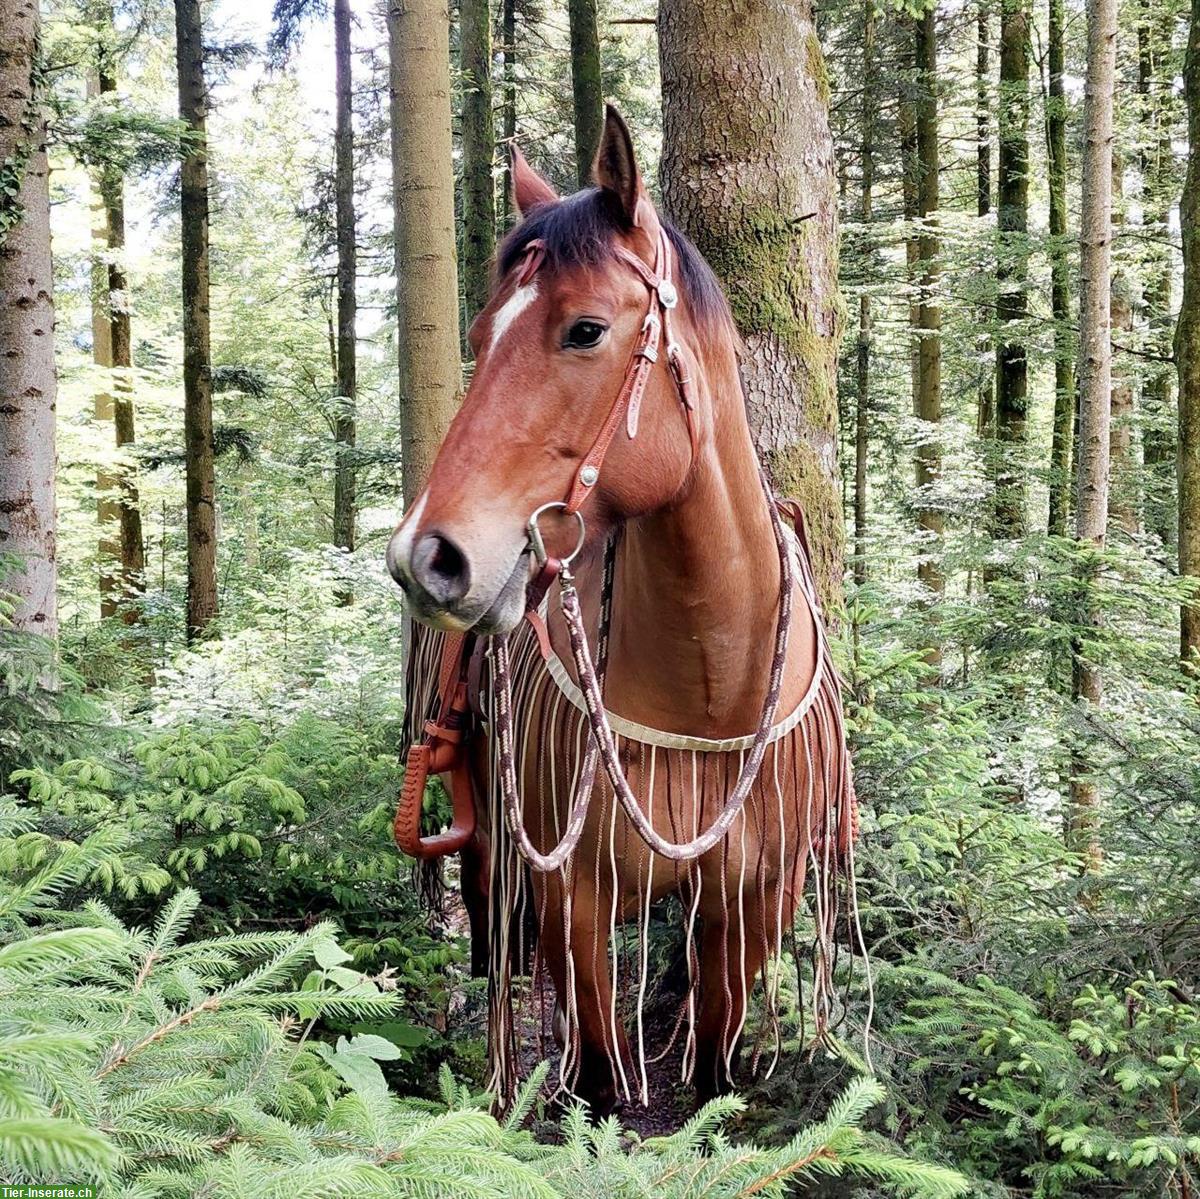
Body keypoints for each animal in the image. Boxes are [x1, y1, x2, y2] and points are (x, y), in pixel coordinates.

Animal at [388, 103, 859, 1113]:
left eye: (585, 329)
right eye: (478, 334)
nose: (426, 559)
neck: (708, 685)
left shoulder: (752, 903)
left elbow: (716, 1064)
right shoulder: (574, 898)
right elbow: (601, 1081)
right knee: (489, 913)